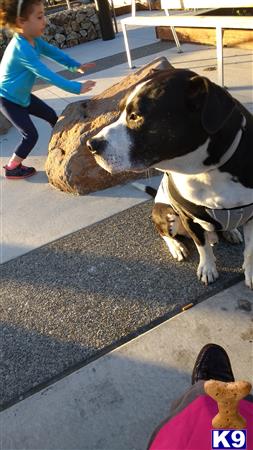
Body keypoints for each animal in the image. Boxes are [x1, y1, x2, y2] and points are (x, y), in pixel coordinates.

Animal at [87, 69, 253, 290]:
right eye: (120, 111)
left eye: (135, 116)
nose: (91, 144)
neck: (207, 171)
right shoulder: (187, 217)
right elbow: (202, 248)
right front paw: (208, 268)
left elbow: (250, 250)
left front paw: (250, 272)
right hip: (166, 213)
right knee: (164, 232)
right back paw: (177, 246)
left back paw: (230, 230)